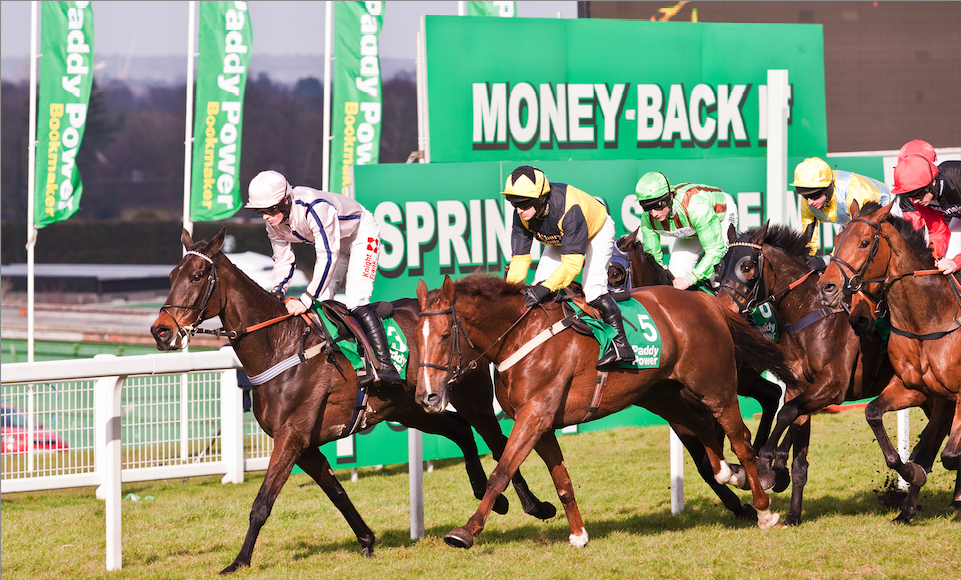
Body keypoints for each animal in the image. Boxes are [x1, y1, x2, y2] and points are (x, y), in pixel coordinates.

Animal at [151, 229, 556, 572]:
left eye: (197, 276)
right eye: (171, 275)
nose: (161, 331)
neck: (281, 347)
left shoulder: (291, 436)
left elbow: (261, 503)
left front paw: (238, 562)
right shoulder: (305, 445)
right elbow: (337, 492)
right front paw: (366, 540)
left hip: (471, 399)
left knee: (500, 442)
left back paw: (533, 505)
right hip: (412, 408)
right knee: (459, 430)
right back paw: (489, 493)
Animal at [412, 272, 796, 548]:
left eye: (445, 336)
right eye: (416, 336)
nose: (426, 397)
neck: (519, 336)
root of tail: (704, 300)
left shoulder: (534, 415)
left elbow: (502, 471)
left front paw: (465, 531)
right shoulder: (542, 423)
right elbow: (562, 482)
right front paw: (578, 535)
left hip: (715, 386)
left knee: (741, 440)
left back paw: (763, 508)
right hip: (661, 393)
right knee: (701, 425)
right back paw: (729, 474)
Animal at [812, 203, 960, 516]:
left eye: (865, 242)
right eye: (838, 238)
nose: (826, 287)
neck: (927, 319)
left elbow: (951, 454)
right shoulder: (914, 388)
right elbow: (873, 413)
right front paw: (912, 472)